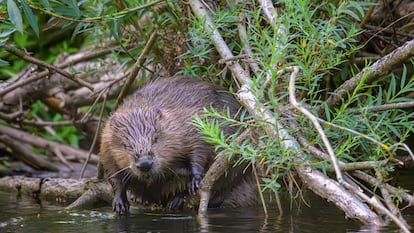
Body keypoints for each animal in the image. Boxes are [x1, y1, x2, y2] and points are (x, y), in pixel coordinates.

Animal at [99, 76, 258, 213]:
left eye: (156, 139)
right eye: (125, 145)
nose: (145, 163)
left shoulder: (190, 122)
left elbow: (200, 148)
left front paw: (194, 180)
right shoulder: (106, 144)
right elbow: (113, 174)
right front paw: (119, 203)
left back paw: (177, 200)